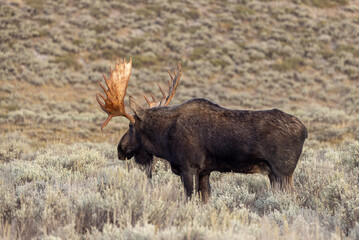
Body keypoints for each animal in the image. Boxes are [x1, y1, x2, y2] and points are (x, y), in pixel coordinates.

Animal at [97, 58, 308, 202]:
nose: (121, 149)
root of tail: (305, 131)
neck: (164, 139)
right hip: (275, 175)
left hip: (282, 172)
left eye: (131, 126)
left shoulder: (188, 167)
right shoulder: (204, 171)